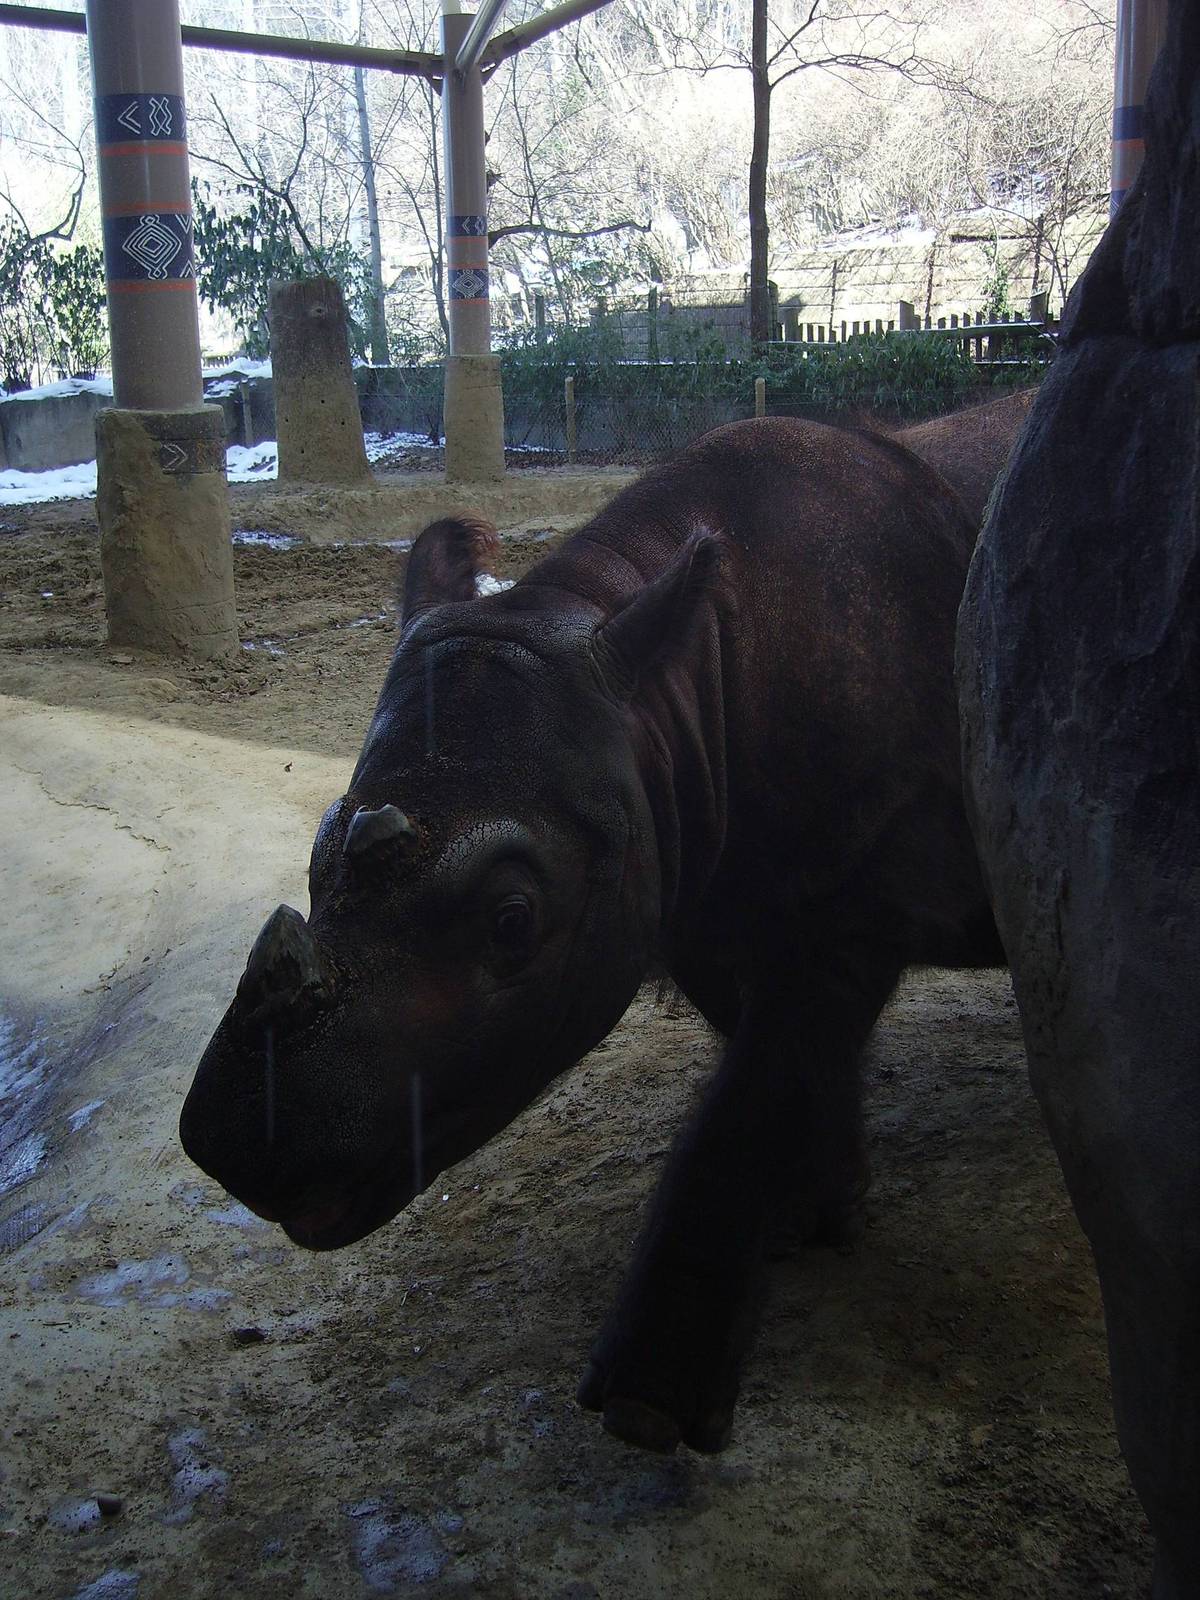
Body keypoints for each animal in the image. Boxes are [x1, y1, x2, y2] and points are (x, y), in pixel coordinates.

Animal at [181, 415, 1002, 1453]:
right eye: (315, 870)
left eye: (512, 921)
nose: (239, 1156)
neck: (670, 697)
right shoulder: (689, 885)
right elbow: (777, 1062)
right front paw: (821, 1214)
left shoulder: (859, 893)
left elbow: (756, 1086)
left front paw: (648, 1409)